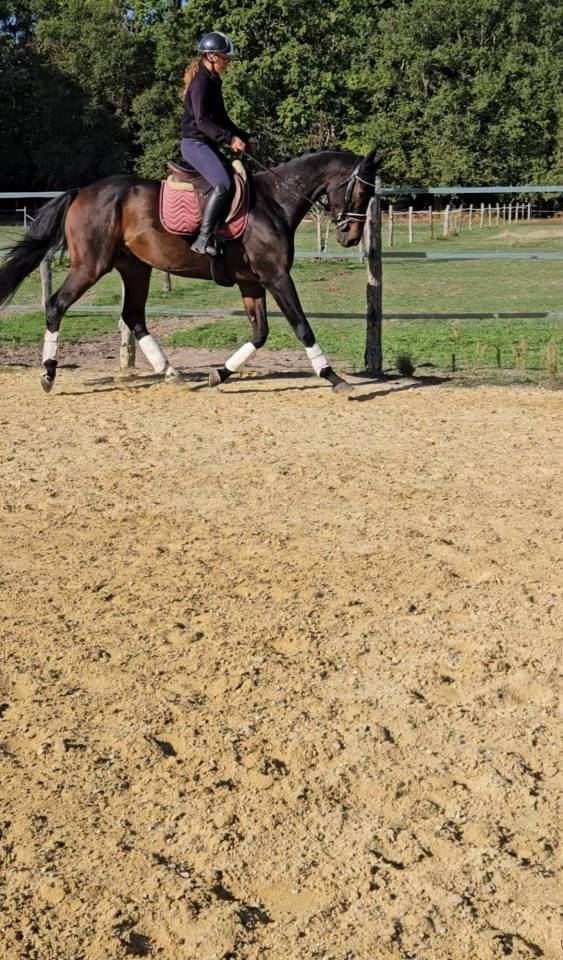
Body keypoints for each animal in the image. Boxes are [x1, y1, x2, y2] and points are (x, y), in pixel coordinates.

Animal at [0, 148, 381, 395]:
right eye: (360, 191)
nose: (350, 237)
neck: (274, 201)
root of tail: (82, 192)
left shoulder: (252, 283)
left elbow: (260, 333)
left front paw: (219, 374)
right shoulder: (275, 276)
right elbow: (301, 326)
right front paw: (333, 377)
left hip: (135, 268)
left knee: (133, 316)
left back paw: (171, 373)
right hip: (91, 266)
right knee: (56, 305)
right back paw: (48, 376)